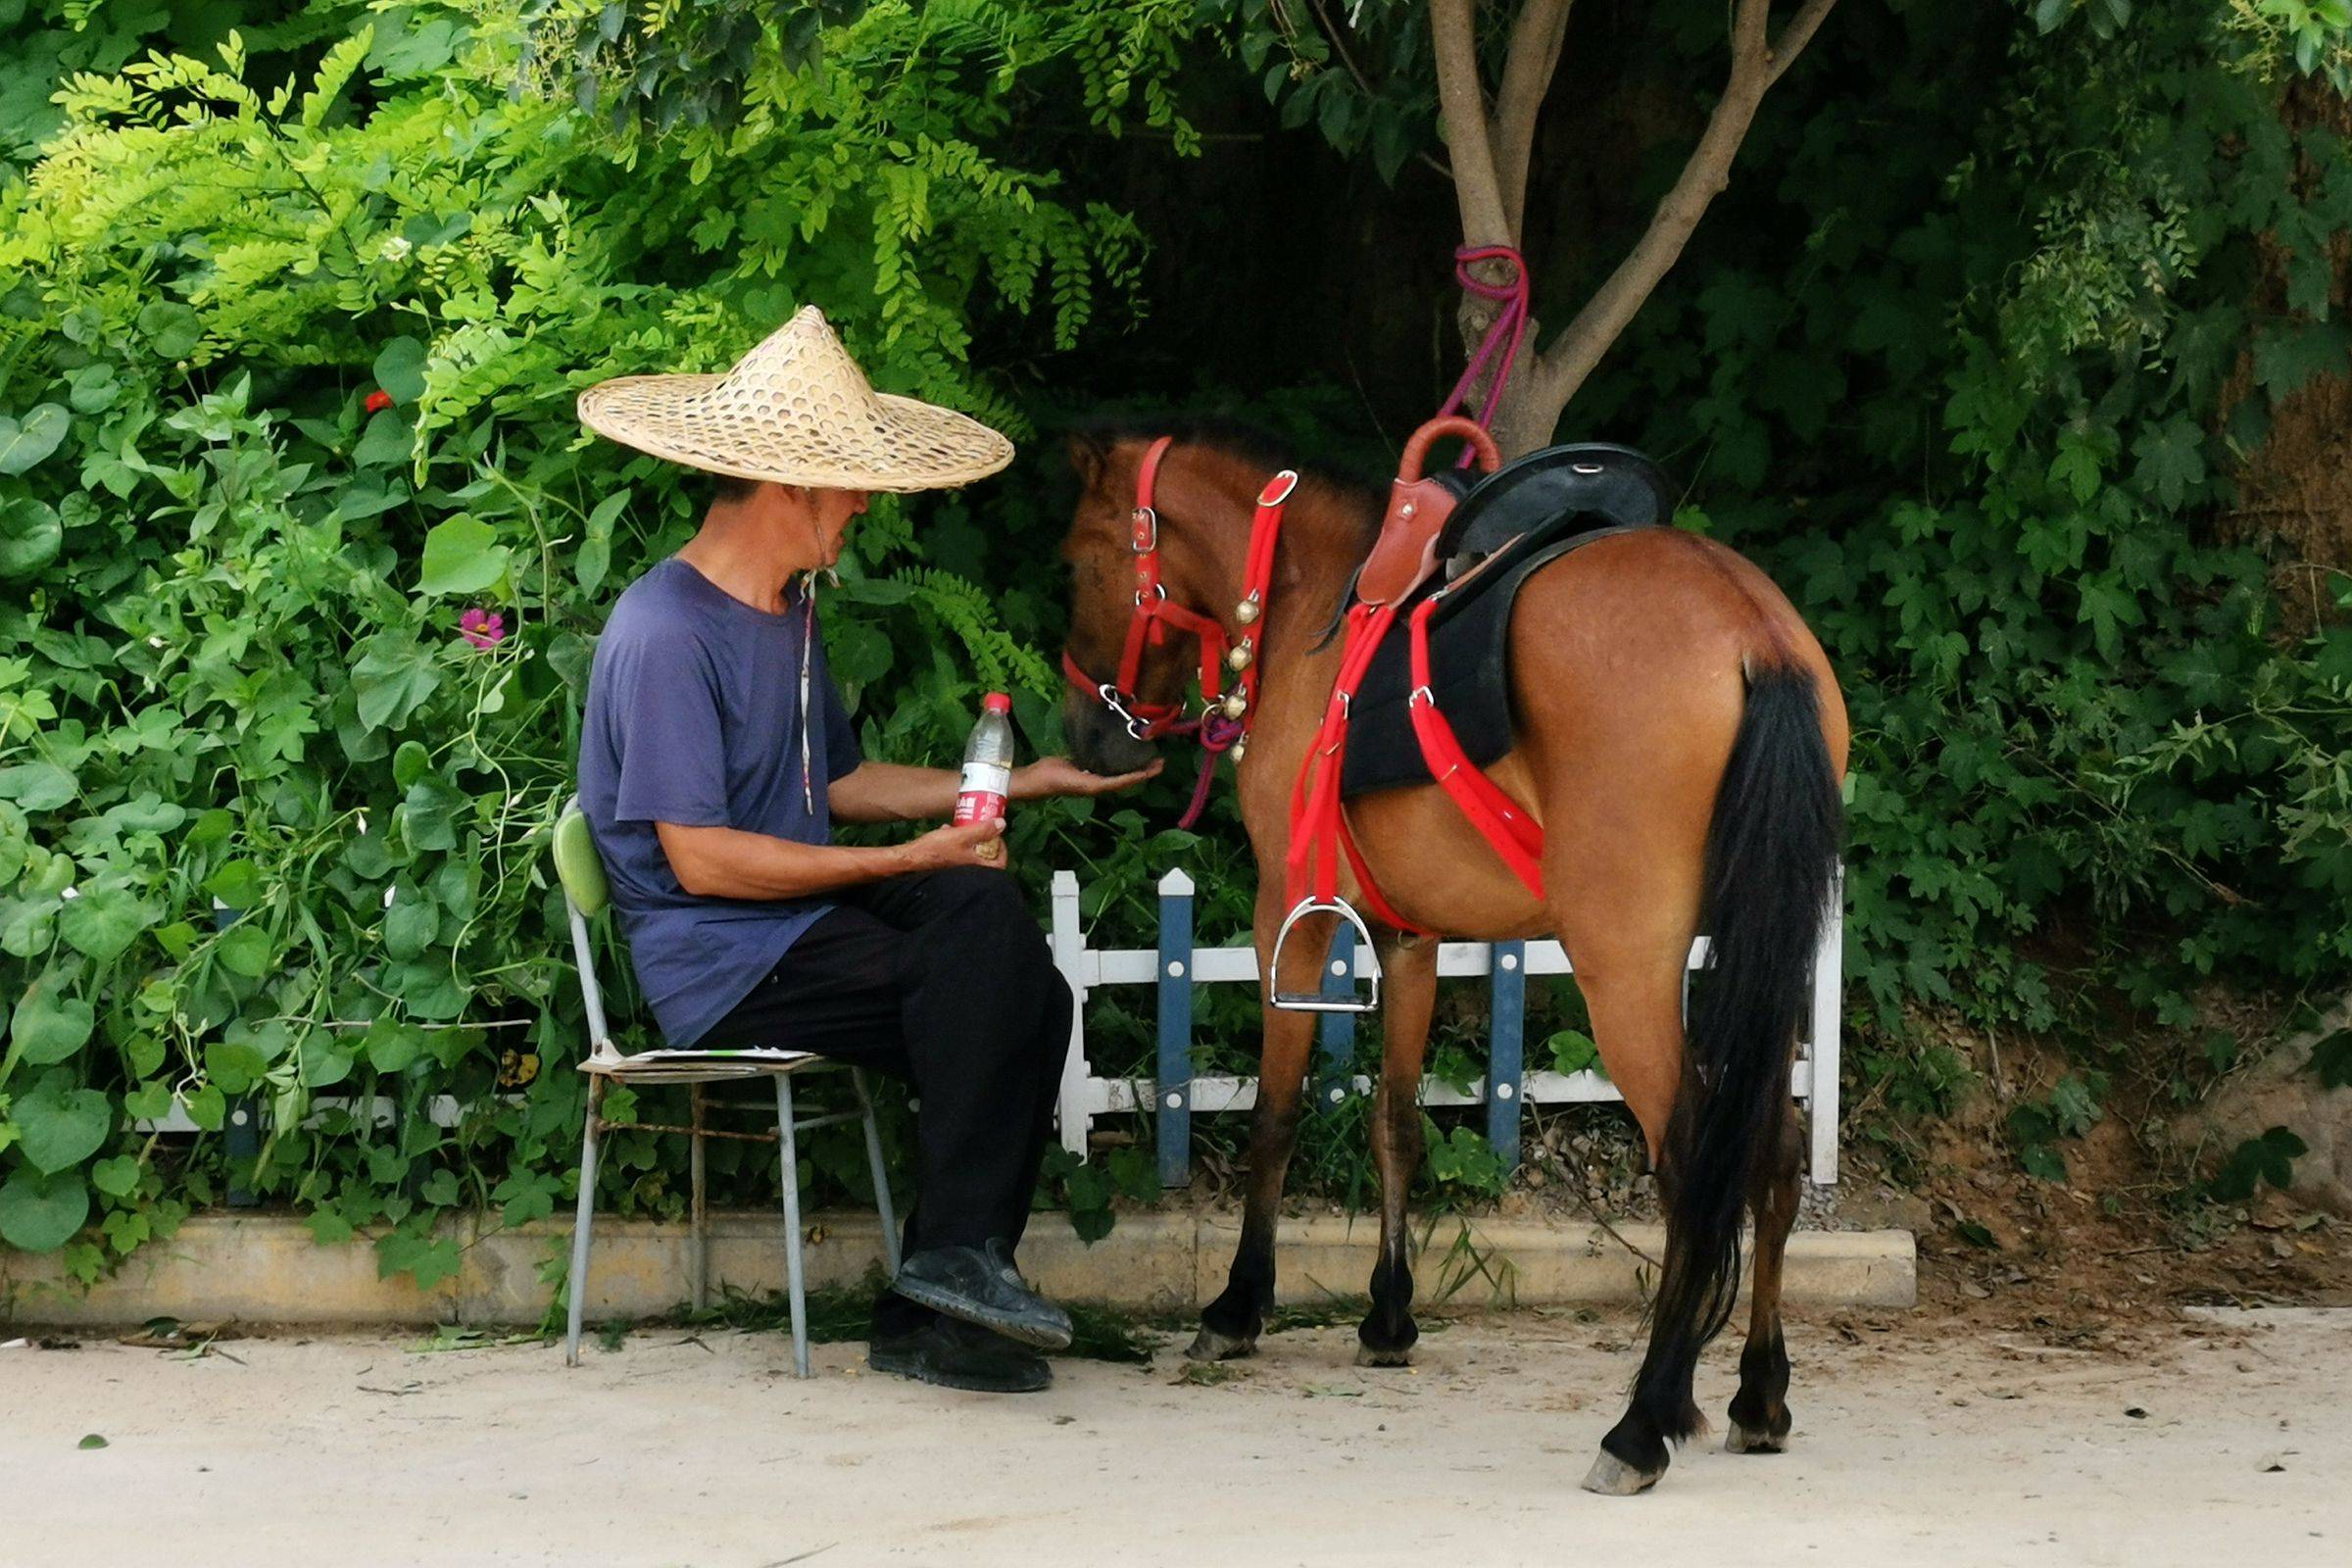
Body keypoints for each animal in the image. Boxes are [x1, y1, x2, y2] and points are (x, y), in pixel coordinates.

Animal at [1058, 422, 1843, 1504]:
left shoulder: (1287, 915)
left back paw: (1642, 1421)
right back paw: (1759, 1395)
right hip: (1761, 958)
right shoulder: (1411, 937)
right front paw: (1389, 1314)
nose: (1088, 735)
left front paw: (1239, 1305)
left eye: (1080, 561)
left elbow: (1274, 1115)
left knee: (1693, 1160)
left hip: (1625, 971)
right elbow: (1396, 1120)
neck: (1309, 607)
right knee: (1771, 1148)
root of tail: (1754, 635)